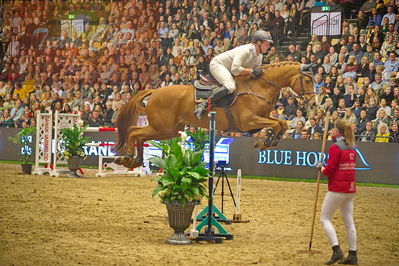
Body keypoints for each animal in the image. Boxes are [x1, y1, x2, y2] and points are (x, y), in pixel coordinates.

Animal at [115, 61, 316, 167]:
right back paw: (127, 157)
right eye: (307, 80)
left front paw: (267, 142)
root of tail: (154, 91)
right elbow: (276, 124)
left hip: (168, 130)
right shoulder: (249, 121)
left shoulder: (261, 119)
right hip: (162, 128)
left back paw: (134, 160)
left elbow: (281, 124)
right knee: (134, 132)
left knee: (138, 135)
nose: (314, 103)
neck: (258, 87)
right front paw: (265, 142)